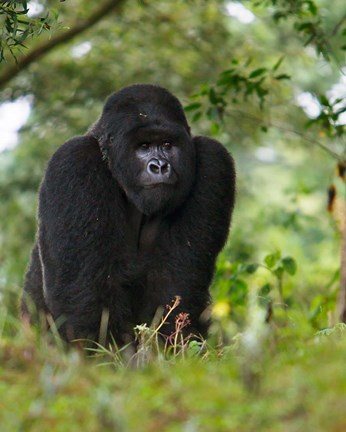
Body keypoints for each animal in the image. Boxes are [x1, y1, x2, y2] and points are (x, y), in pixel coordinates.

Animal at [21, 84, 235, 344]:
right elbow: (82, 293)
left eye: (167, 145)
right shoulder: (73, 161)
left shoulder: (214, 160)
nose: (159, 166)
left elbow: (177, 283)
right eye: (143, 147)